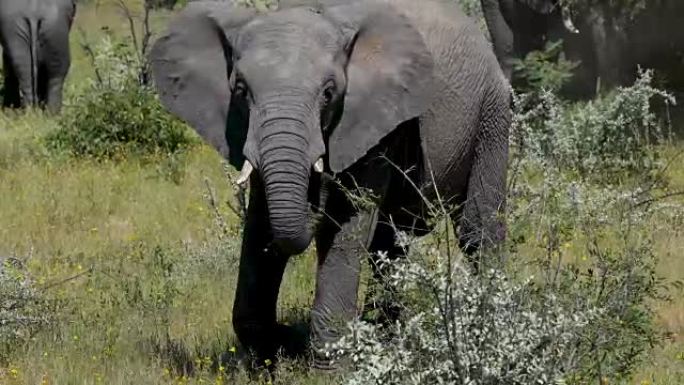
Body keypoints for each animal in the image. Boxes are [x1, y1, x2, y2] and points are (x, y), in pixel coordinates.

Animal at [152, 0, 510, 368]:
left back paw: (490, 322)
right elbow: (259, 224)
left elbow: (341, 225)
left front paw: (328, 366)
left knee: (475, 230)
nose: (287, 334)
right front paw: (268, 357)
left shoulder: (371, 119)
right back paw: (385, 334)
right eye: (240, 90)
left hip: (492, 113)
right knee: (390, 242)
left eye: (328, 93)